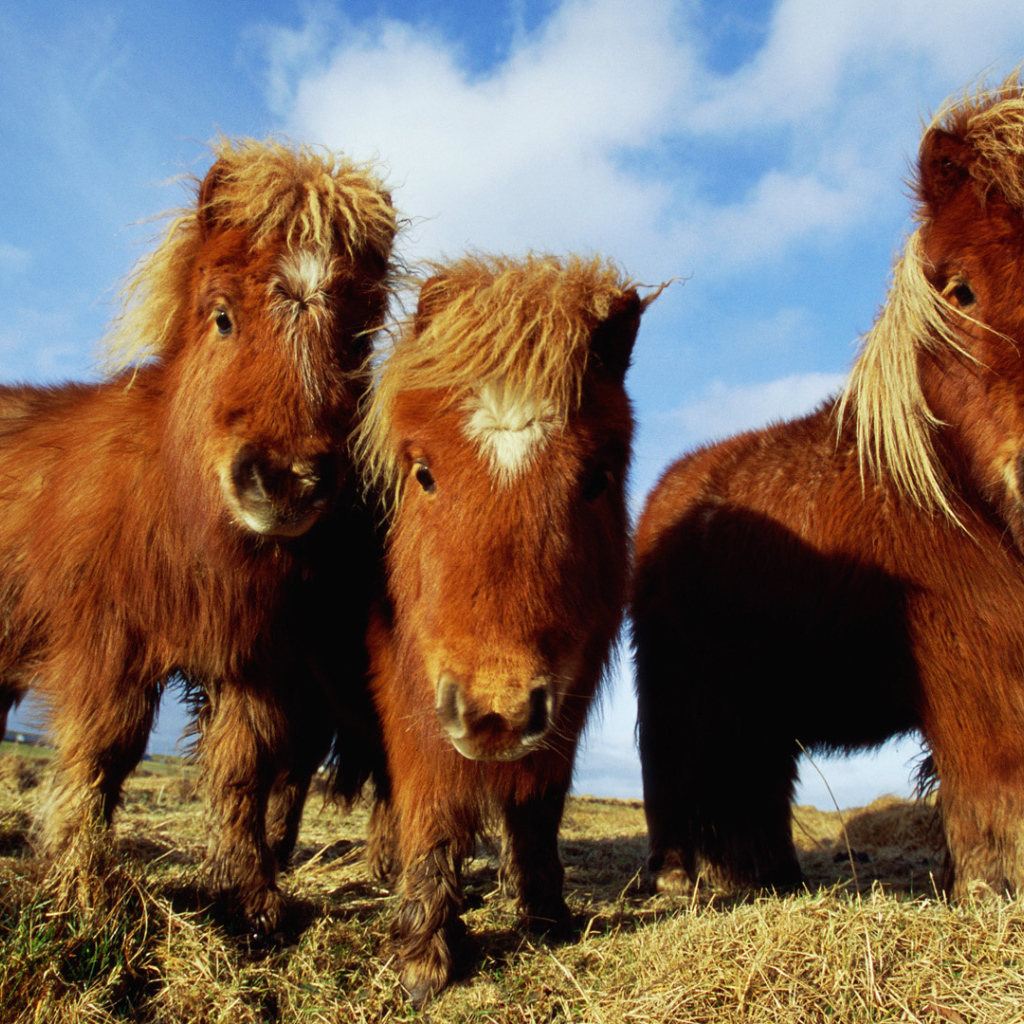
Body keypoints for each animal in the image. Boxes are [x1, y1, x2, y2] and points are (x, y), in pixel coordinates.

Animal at [0, 137, 397, 931]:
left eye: (356, 343)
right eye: (221, 317)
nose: (285, 480)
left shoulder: (256, 664)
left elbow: (245, 772)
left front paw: (250, 900)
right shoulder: (107, 648)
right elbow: (100, 757)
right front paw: (79, 888)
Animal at [356, 253, 655, 1002]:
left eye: (596, 478)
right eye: (423, 472)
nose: (497, 712)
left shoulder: (565, 699)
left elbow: (539, 806)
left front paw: (548, 916)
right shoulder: (414, 690)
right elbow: (433, 804)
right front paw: (424, 953)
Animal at [633, 75, 1024, 899]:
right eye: (960, 290)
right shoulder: (972, 658)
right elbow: (997, 778)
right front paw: (990, 885)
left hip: (751, 699)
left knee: (748, 784)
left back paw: (764, 877)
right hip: (681, 684)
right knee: (678, 771)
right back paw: (683, 878)